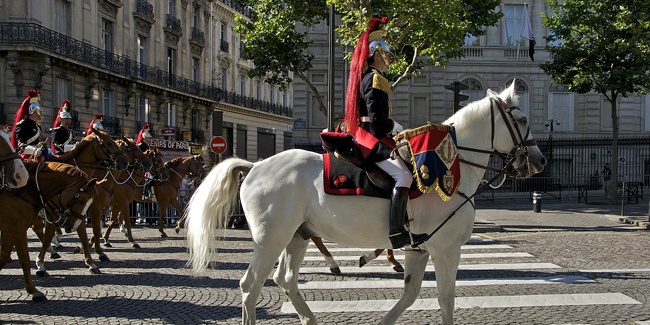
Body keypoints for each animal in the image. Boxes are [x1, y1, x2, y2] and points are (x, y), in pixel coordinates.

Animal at [0, 162, 98, 302]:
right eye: (81, 201)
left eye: (89, 202)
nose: (71, 228)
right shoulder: (18, 228)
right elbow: (26, 257)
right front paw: (35, 288)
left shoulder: (9, 229)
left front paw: (90, 263)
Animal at [39, 135, 150, 272]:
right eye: (134, 148)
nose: (148, 164)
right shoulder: (100, 206)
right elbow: (105, 226)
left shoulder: (98, 207)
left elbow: (100, 227)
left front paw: (92, 249)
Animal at [185, 81, 544, 324]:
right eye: (522, 120)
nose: (539, 160)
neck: (450, 165)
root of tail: (255, 165)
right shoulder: (446, 249)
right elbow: (446, 299)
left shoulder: (418, 249)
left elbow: (411, 294)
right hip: (270, 239)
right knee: (251, 285)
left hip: (298, 236)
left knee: (284, 279)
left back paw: (310, 318)